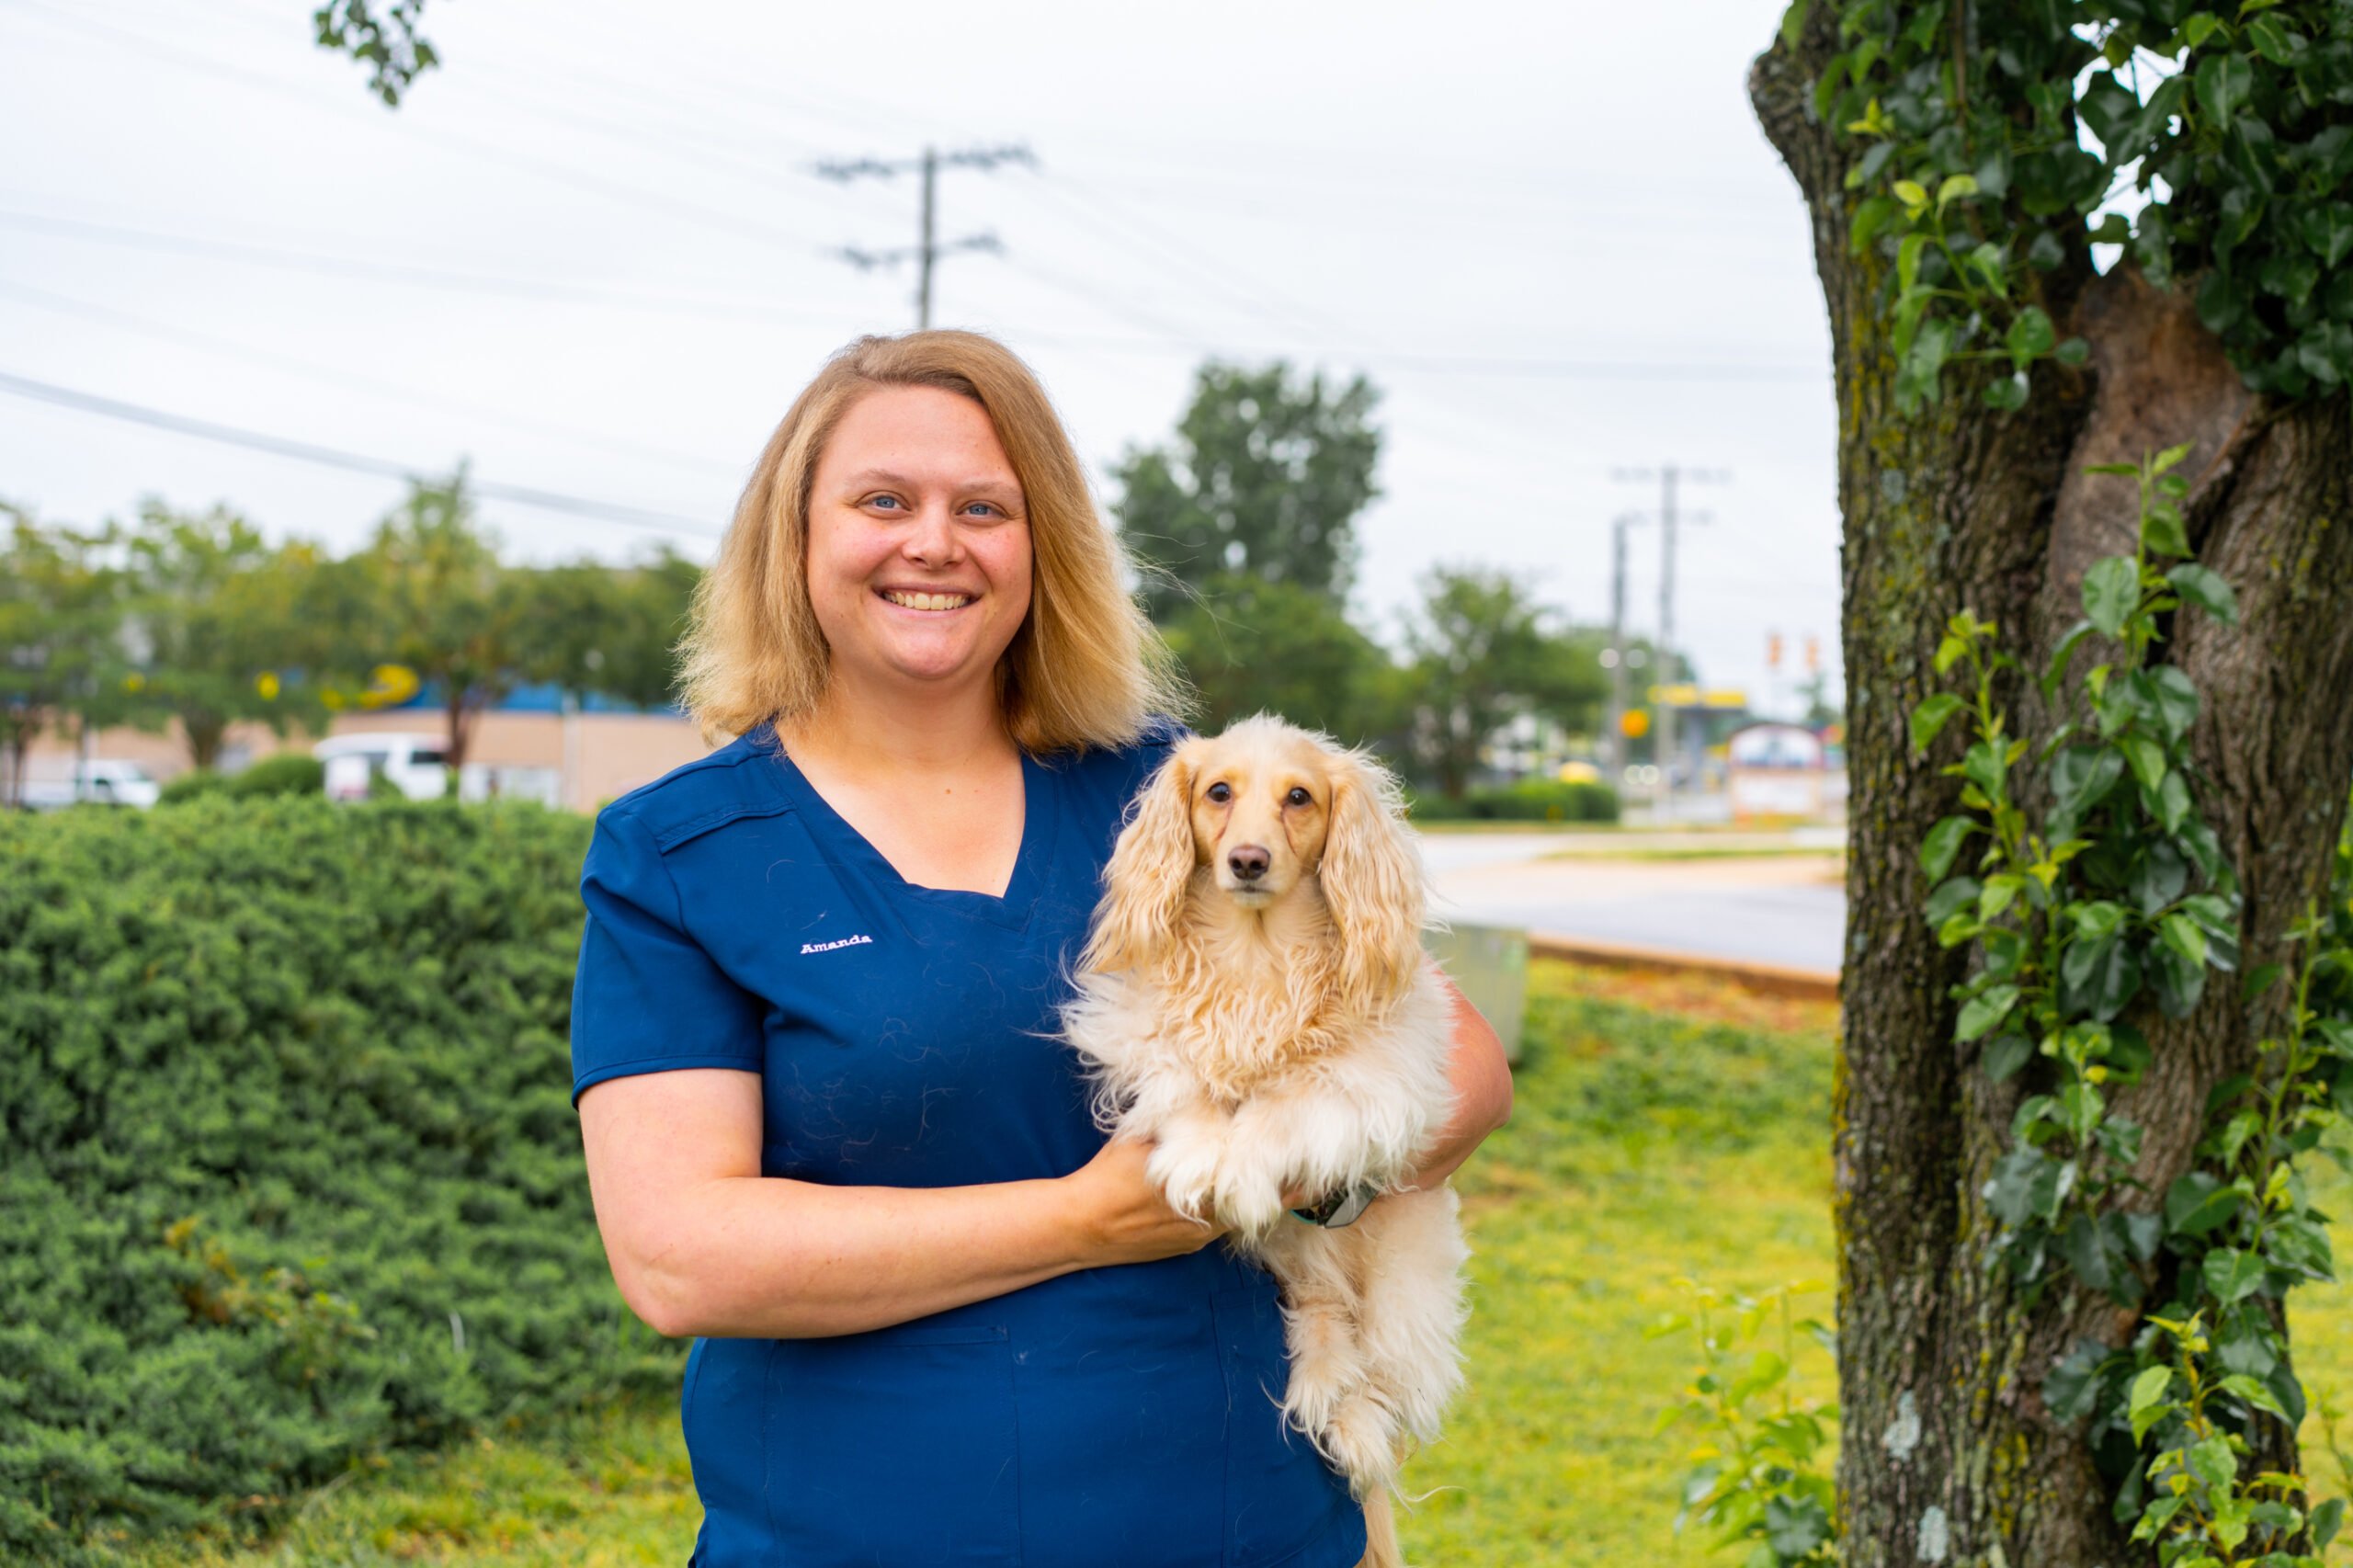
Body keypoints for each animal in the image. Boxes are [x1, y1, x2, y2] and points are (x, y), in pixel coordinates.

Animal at [1073, 715, 1468, 1553]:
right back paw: (1329, 1392)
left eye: (1300, 798)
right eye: (1218, 791)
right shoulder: (1141, 1032)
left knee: (1382, 1371)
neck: (1255, 955)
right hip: (1302, 1271)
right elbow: (1188, 1082)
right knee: (1322, 1318)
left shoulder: (1372, 1077)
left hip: (1401, 1280)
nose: (1248, 861)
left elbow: (1280, 1104)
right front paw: (1198, 1158)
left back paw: (1358, 1425)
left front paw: (1243, 1169)